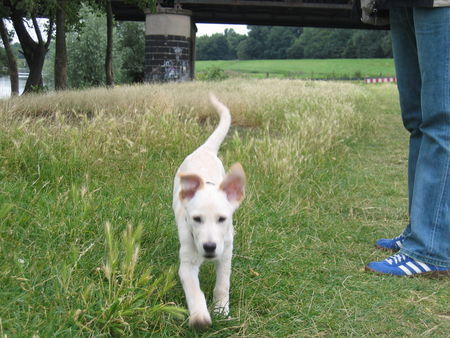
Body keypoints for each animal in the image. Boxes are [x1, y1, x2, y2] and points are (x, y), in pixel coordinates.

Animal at [172, 93, 244, 328]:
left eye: (222, 219)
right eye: (196, 219)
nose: (210, 247)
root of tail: (204, 149)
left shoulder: (226, 252)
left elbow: (223, 284)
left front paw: (221, 309)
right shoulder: (187, 262)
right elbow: (194, 290)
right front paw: (200, 316)